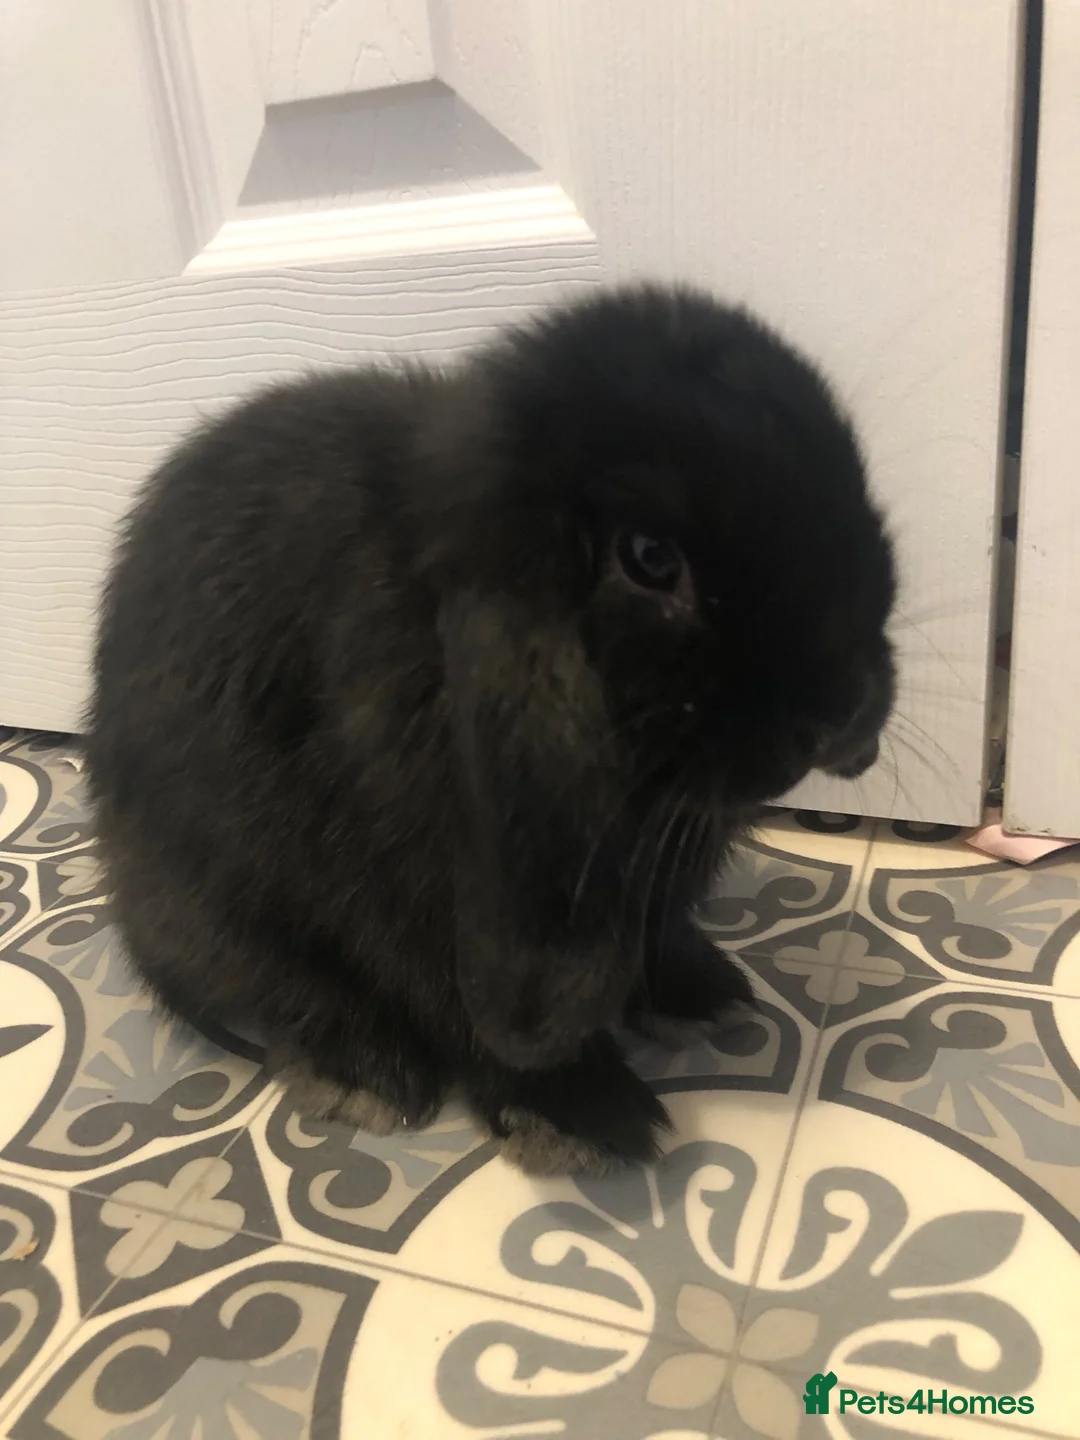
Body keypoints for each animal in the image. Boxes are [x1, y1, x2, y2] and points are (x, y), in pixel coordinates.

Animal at [85, 283, 896, 1177]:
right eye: (648, 557)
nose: (843, 712)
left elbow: (656, 936)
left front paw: (700, 995)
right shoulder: (424, 888)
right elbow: (452, 1001)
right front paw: (581, 1116)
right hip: (217, 892)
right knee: (275, 981)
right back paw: (364, 1075)